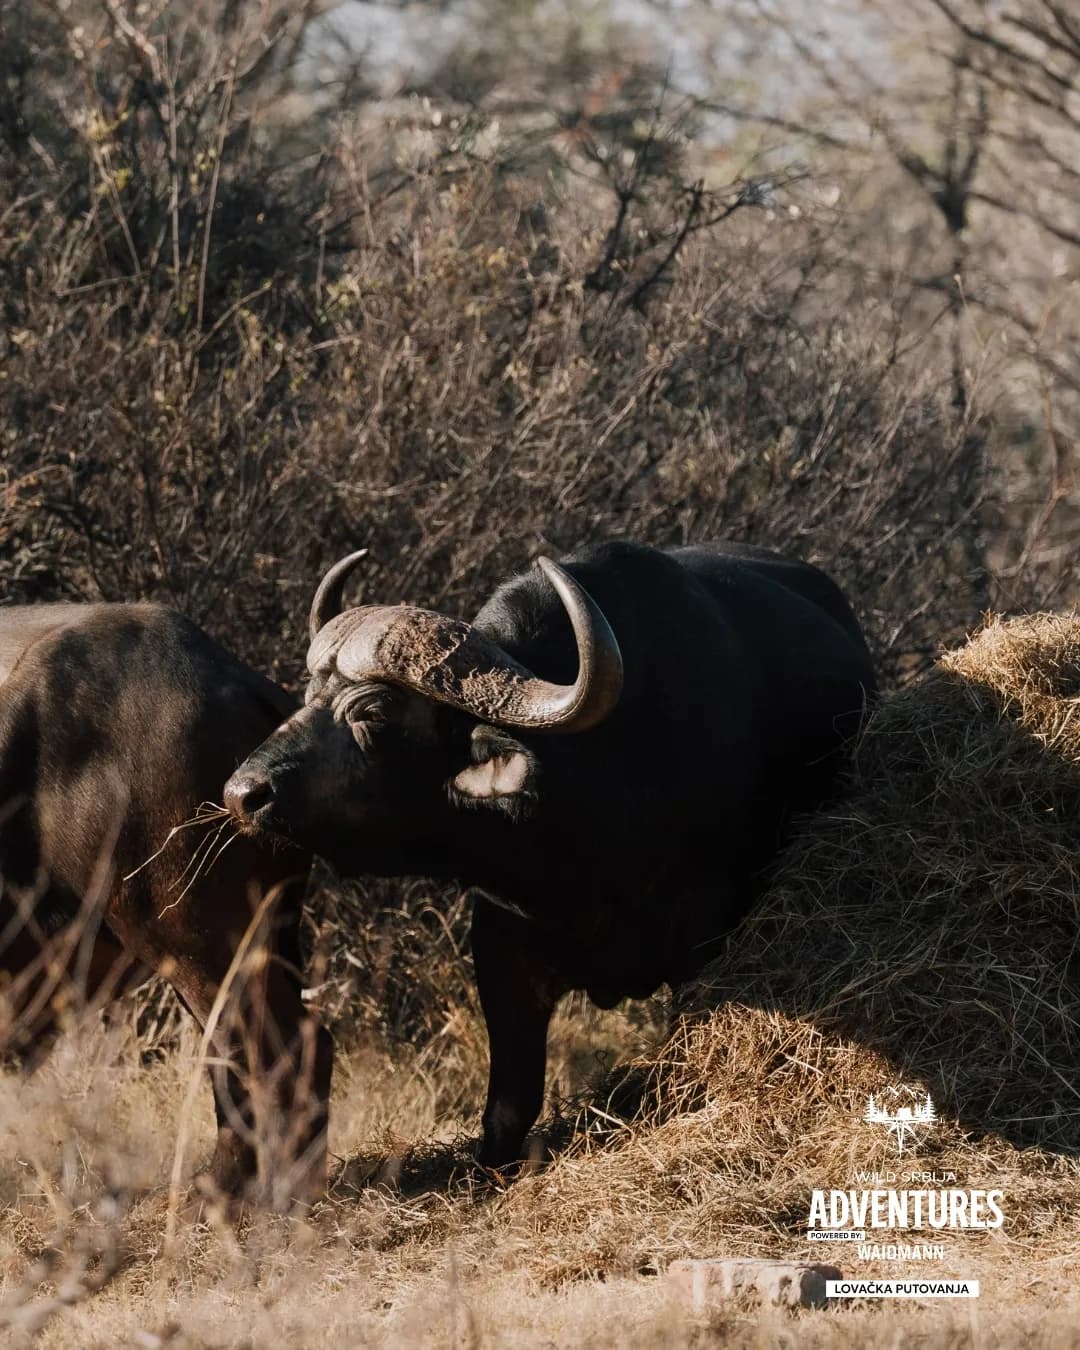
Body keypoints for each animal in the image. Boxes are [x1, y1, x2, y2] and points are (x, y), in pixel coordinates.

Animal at [225, 540, 875, 1167]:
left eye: (372, 711)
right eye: (309, 695)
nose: (242, 793)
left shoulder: (704, 945)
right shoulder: (501, 947)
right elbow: (509, 1106)